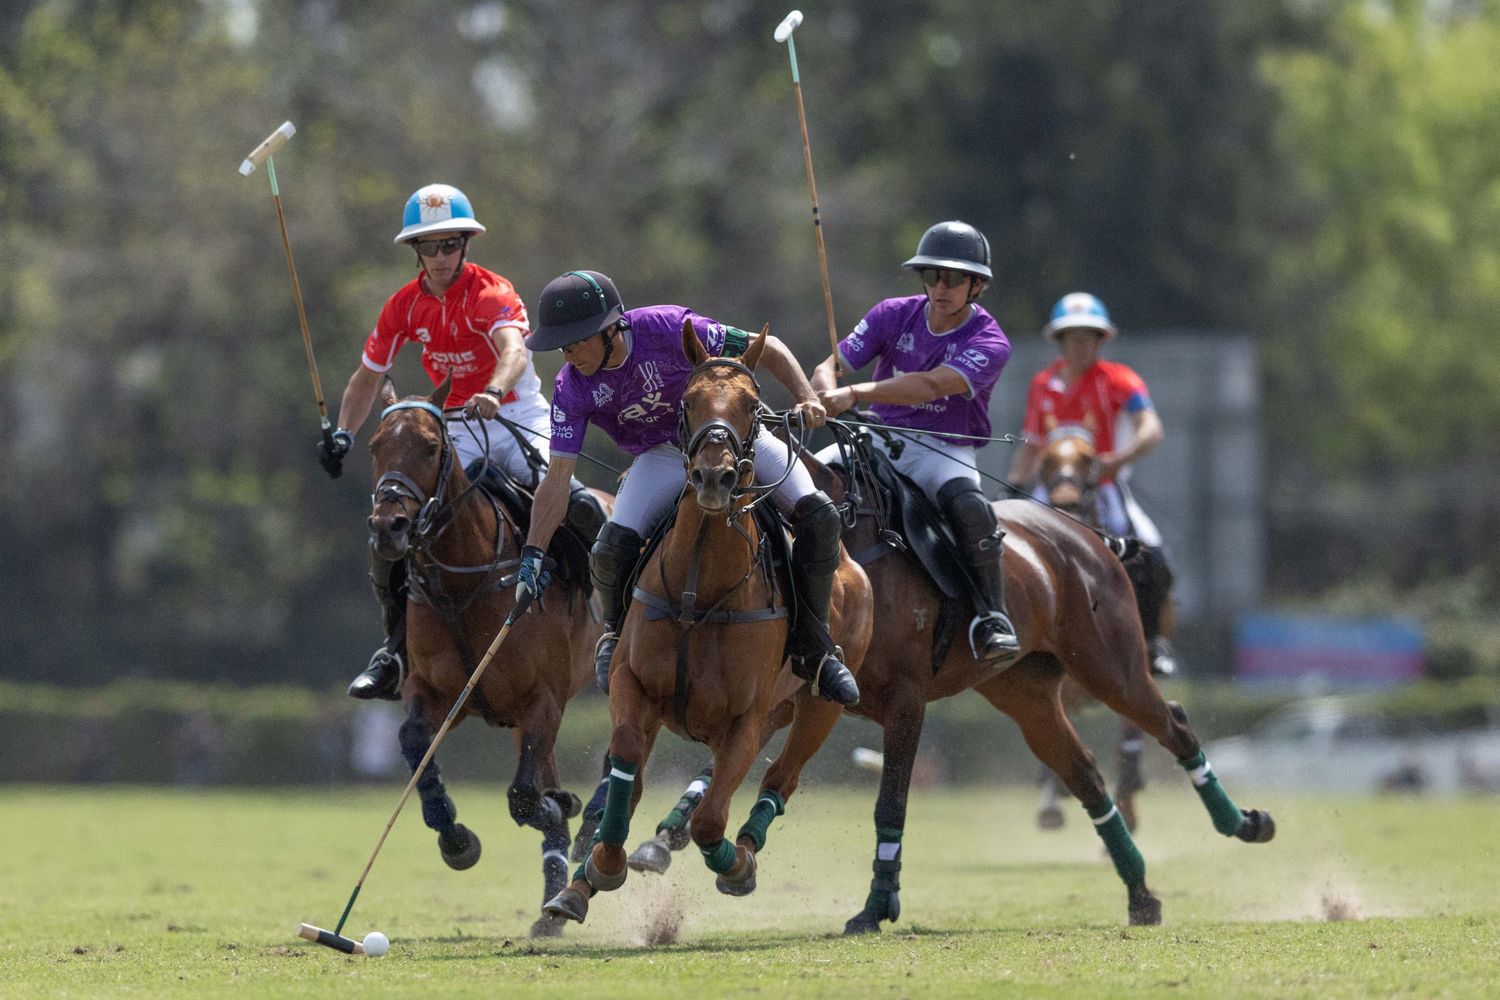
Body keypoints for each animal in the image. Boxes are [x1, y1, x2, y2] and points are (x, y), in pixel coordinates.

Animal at [367, 377, 603, 941]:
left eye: (430, 447)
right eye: (375, 446)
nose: (388, 527)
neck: (462, 585)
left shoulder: (545, 698)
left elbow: (523, 795)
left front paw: (561, 805)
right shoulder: (437, 694)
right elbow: (414, 740)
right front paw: (456, 839)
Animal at [540, 325, 876, 929]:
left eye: (751, 404)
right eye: (689, 401)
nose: (714, 477)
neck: (699, 587)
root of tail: (851, 566)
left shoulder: (745, 717)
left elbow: (711, 821)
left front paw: (736, 866)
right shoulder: (633, 687)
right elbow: (626, 766)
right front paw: (597, 870)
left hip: (817, 707)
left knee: (780, 777)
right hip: (773, 709)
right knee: (613, 544)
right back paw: (581, 884)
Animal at [633, 425, 1278, 935]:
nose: (706, 484)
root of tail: (1088, 537)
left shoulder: (903, 699)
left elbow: (890, 801)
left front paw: (876, 907)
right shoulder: (796, 691)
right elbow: (718, 765)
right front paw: (662, 840)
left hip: (1110, 665)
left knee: (1174, 725)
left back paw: (1244, 823)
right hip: (1027, 694)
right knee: (1086, 775)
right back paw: (1141, 893)